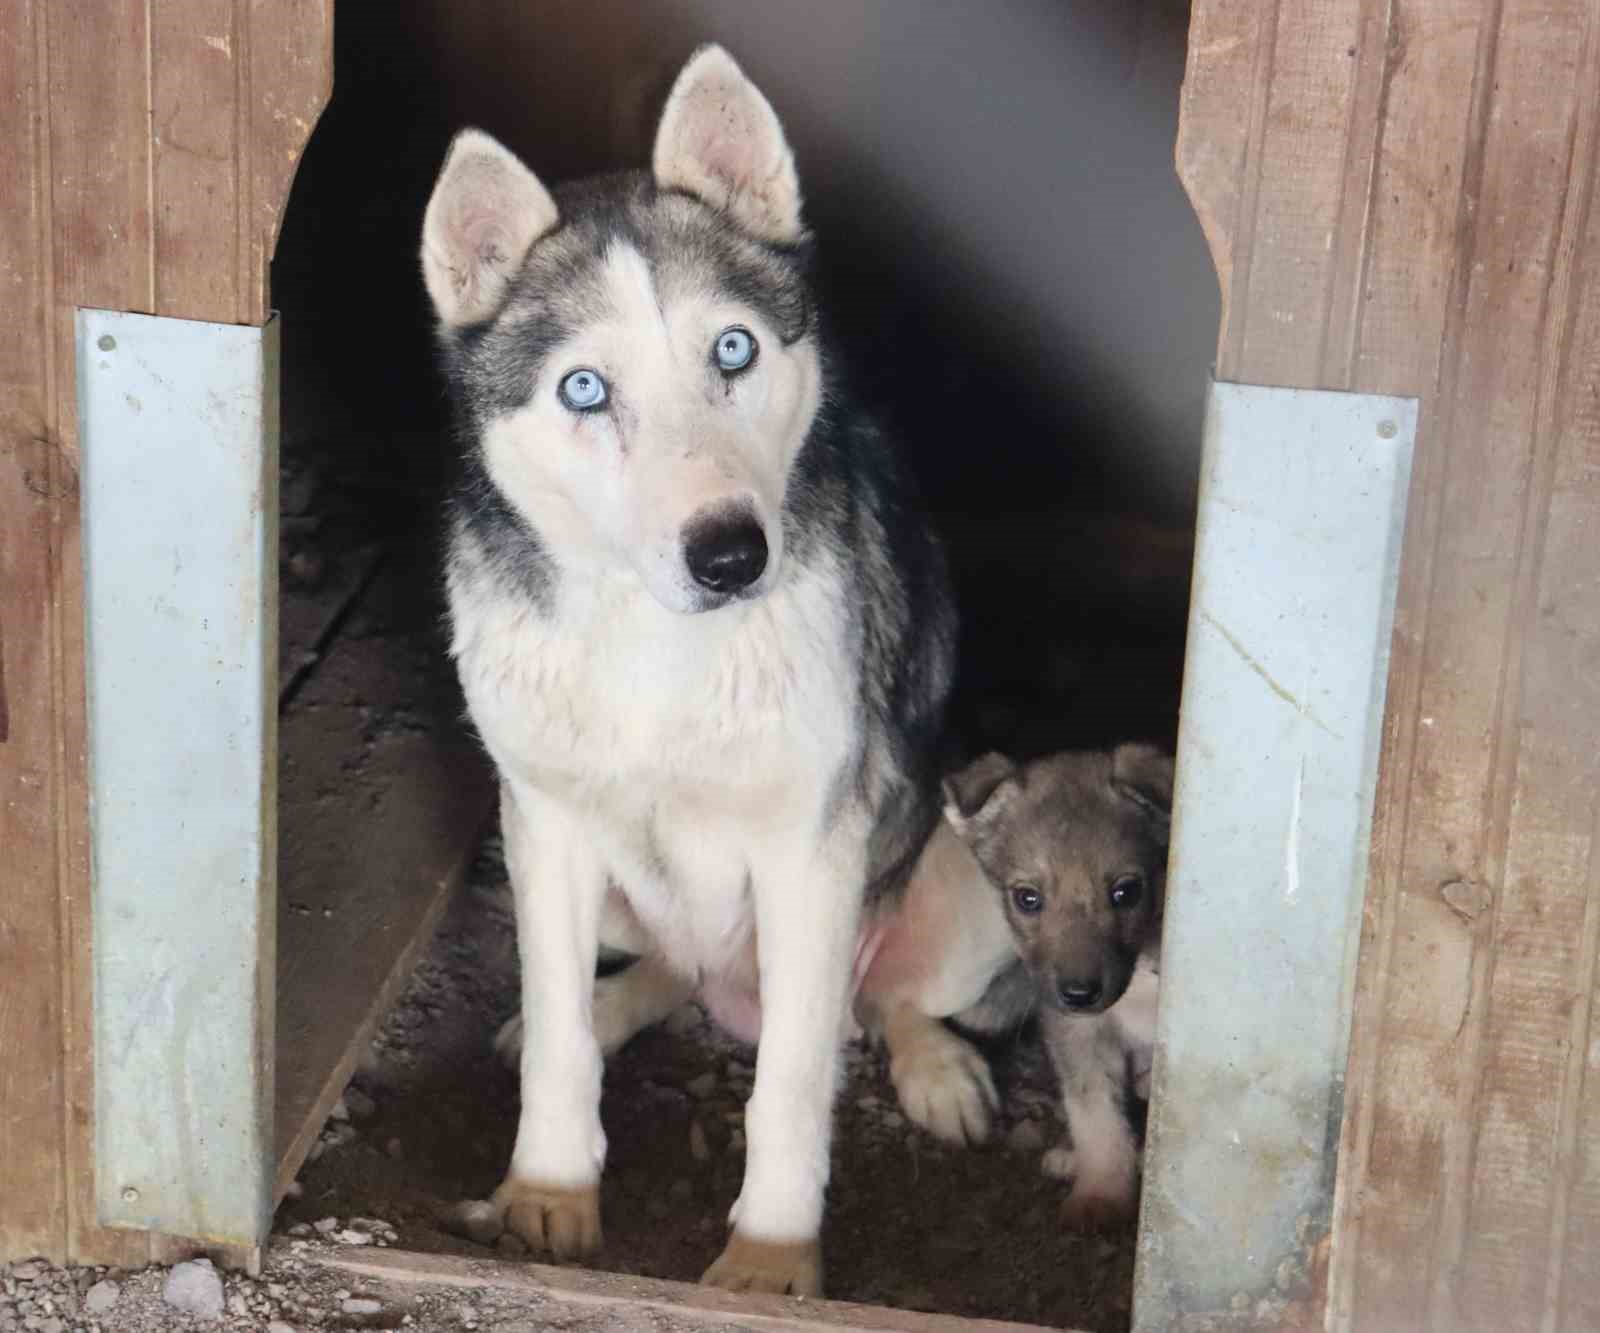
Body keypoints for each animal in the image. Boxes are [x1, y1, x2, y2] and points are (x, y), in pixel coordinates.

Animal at [419, 49, 953, 1292]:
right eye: (583, 389)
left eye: (733, 350)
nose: (730, 554)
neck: (654, 644)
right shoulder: (546, 822)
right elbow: (559, 1039)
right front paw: (547, 1191)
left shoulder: (811, 847)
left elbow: (792, 1086)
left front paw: (771, 1258)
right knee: (657, 970)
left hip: (946, 839)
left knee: (890, 1001)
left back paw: (938, 1071)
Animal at [851, 742, 1177, 1222]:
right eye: (1027, 899)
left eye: (1126, 892)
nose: (1078, 994)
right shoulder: (1077, 1034)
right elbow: (1095, 1113)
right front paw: (1100, 1194)